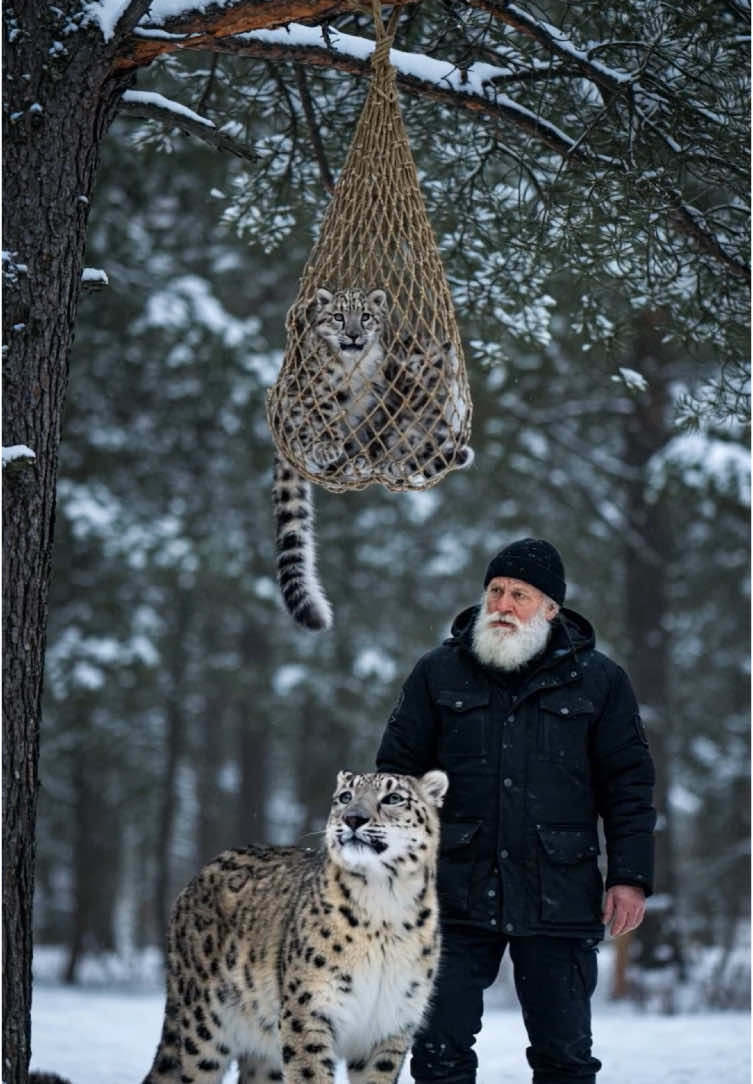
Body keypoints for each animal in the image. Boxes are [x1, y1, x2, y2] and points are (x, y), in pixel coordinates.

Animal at [142, 769, 448, 1084]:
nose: (353, 818)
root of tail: (192, 883)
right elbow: (310, 1073)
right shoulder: (309, 1009)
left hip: (264, 1052)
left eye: (394, 798)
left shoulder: (390, 1025)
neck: (383, 907)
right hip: (204, 1028)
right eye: (345, 797)